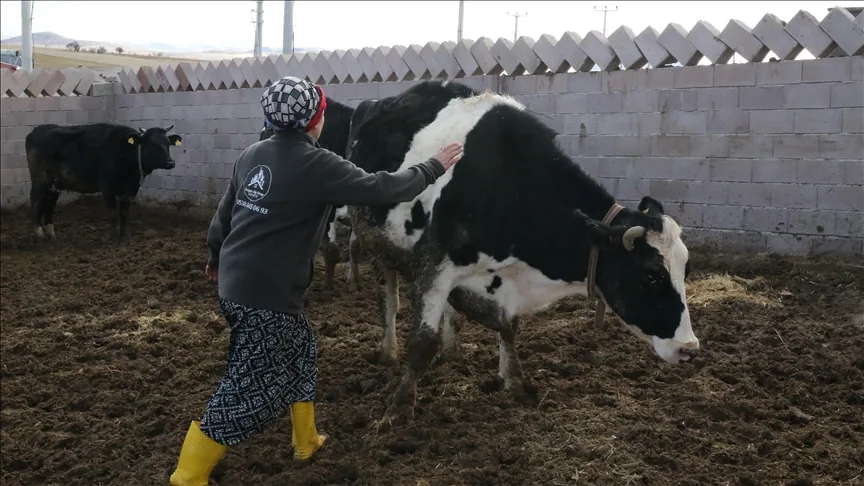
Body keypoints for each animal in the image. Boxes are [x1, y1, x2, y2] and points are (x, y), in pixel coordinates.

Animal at [26, 122, 181, 242]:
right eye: (152, 144)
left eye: (168, 144)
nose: (170, 163)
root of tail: (37, 130)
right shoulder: (107, 188)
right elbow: (113, 213)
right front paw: (113, 237)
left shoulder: (130, 190)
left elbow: (124, 213)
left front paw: (124, 237)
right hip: (40, 179)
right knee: (35, 202)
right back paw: (38, 235)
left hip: (55, 184)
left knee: (49, 205)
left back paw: (51, 235)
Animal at [340, 80, 700, 426]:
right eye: (651, 276)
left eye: (685, 270)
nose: (689, 349)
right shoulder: (435, 264)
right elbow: (421, 343)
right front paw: (398, 408)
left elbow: (509, 327)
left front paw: (515, 382)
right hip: (379, 241)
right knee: (389, 300)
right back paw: (388, 350)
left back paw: (452, 349)